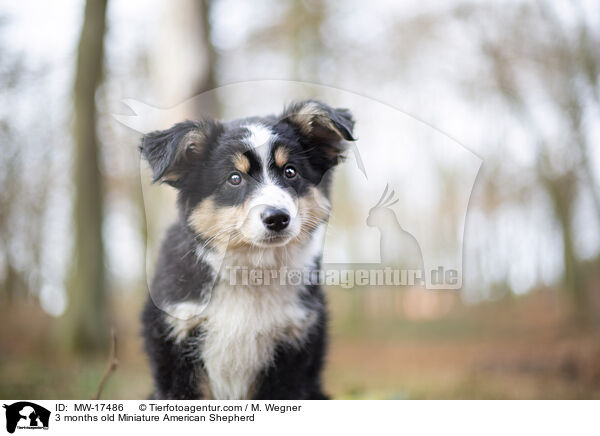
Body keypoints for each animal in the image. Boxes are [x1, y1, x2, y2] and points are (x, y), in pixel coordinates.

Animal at [139, 99, 356, 398]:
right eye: (234, 178)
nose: (277, 218)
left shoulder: (292, 355)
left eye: (290, 171)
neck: (252, 270)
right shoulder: (175, 348)